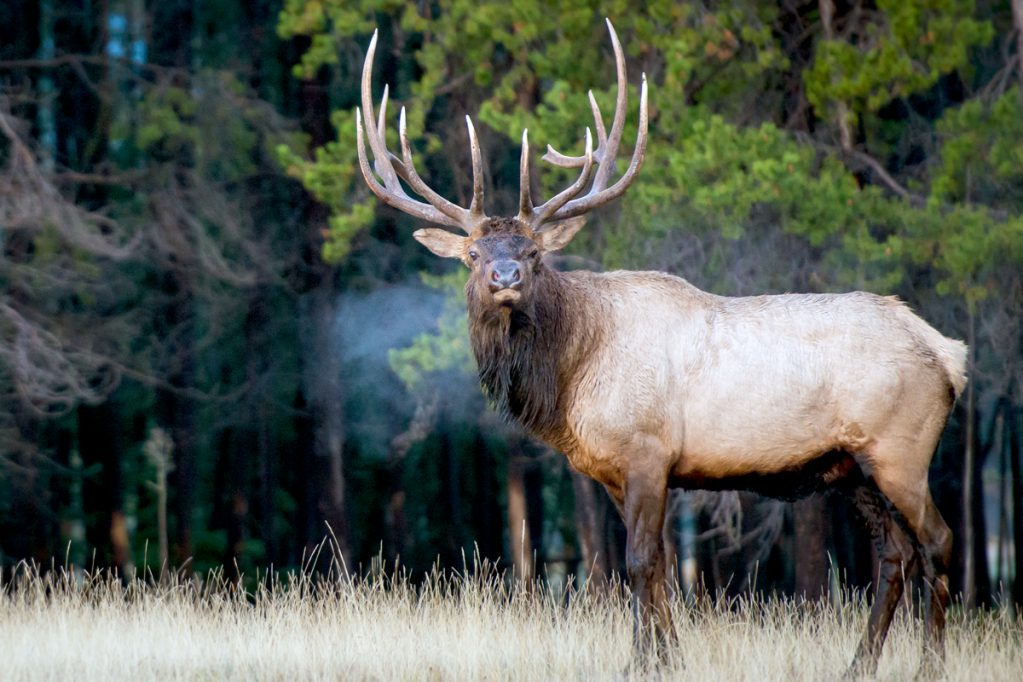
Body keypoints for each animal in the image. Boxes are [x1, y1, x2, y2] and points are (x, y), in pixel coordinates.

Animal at [356, 20, 967, 676]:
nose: (505, 277)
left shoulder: (648, 451)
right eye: (472, 254)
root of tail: (948, 354)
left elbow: (640, 562)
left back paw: (931, 665)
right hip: (853, 465)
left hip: (901, 447)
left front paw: (643, 662)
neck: (571, 376)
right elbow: (660, 570)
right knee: (894, 552)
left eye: (534, 252)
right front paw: (666, 657)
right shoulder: (614, 472)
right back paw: (858, 664)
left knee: (937, 540)